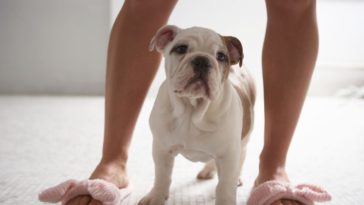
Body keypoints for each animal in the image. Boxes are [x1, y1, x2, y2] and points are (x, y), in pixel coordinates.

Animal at [139, 25, 256, 205]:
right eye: (180, 49)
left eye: (221, 56)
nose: (202, 59)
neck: (192, 110)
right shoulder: (162, 149)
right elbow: (162, 176)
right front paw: (156, 197)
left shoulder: (228, 155)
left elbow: (224, 186)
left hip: (242, 142)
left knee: (240, 159)